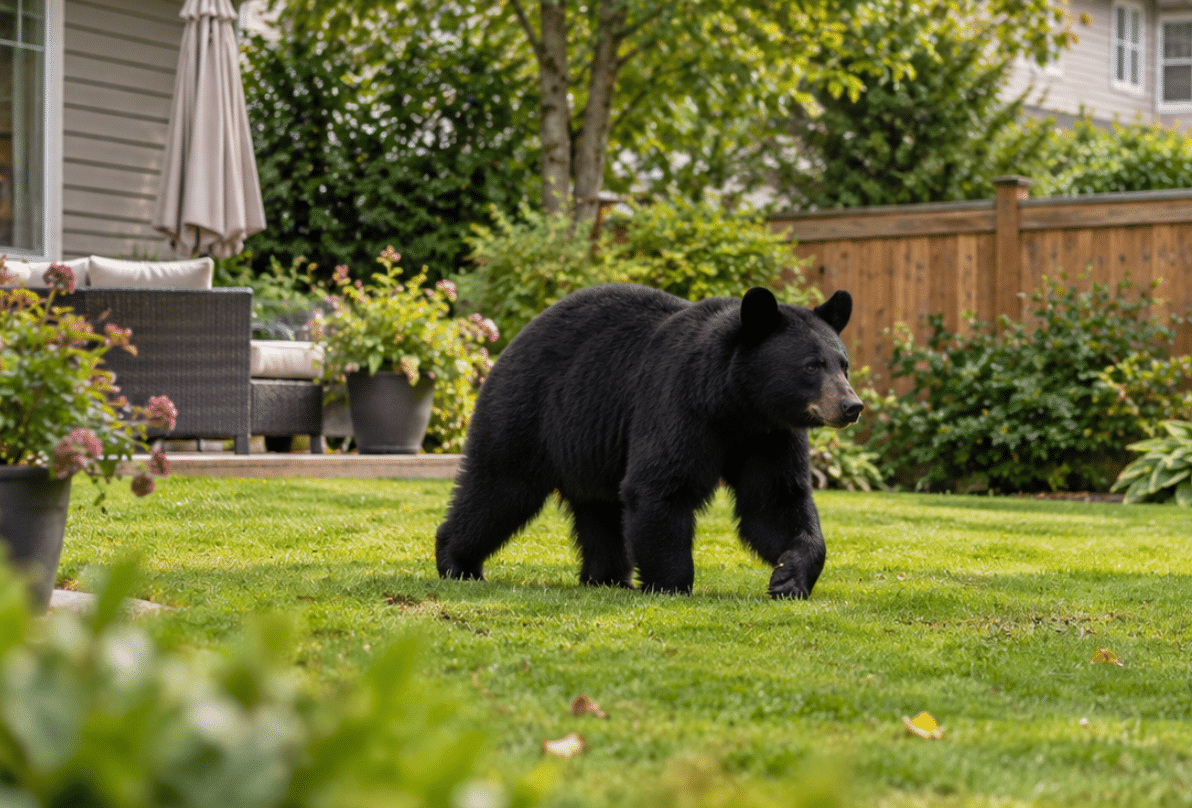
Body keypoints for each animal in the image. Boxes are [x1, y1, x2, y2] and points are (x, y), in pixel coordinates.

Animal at [435, 283, 862, 599]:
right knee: (500, 488)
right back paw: (457, 561)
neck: (735, 403)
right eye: (812, 366)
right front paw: (671, 583)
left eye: (843, 364)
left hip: (589, 446)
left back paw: (607, 577)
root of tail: (511, 342)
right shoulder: (680, 403)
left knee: (600, 510)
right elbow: (661, 484)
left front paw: (788, 576)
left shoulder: (769, 436)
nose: (851, 406)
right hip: (529, 413)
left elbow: (774, 502)